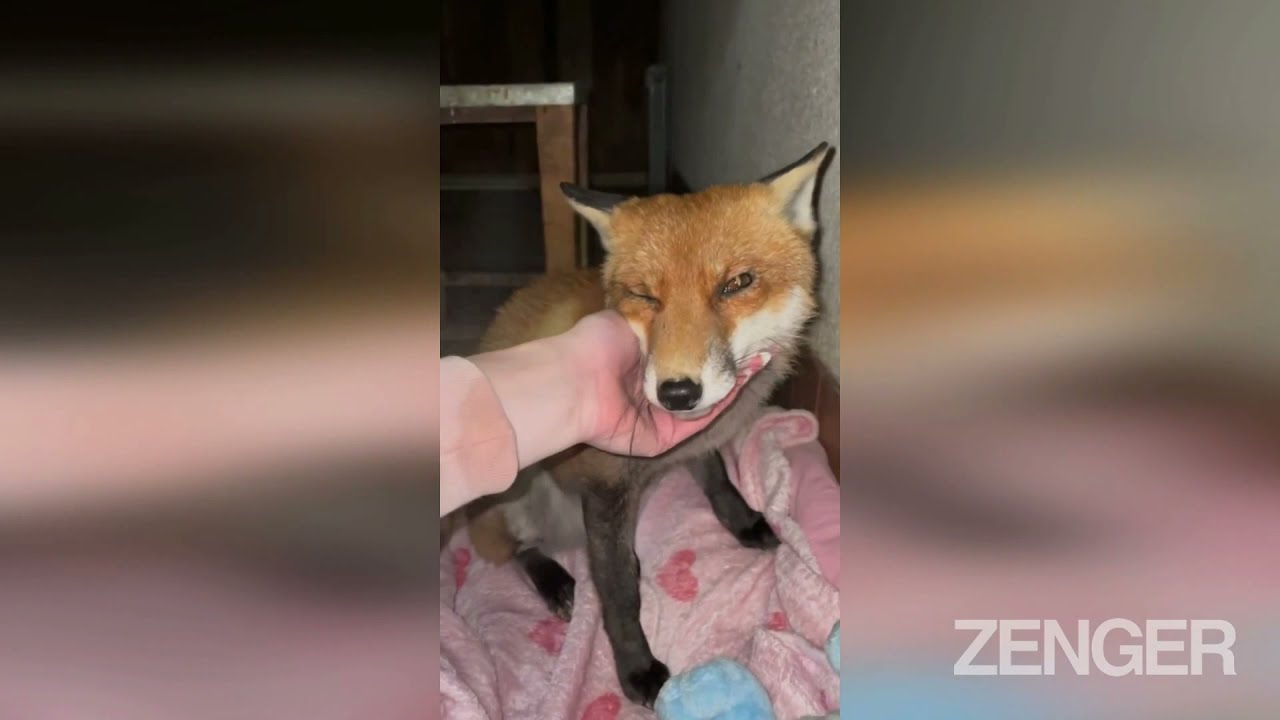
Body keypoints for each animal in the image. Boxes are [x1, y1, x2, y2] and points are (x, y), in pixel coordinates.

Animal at [448, 142, 833, 707]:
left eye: (737, 283)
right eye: (646, 296)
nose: (677, 393)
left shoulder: (697, 444)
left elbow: (720, 483)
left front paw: (745, 523)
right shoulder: (605, 485)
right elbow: (617, 594)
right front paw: (636, 668)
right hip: (517, 496)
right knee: (516, 550)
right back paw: (556, 581)